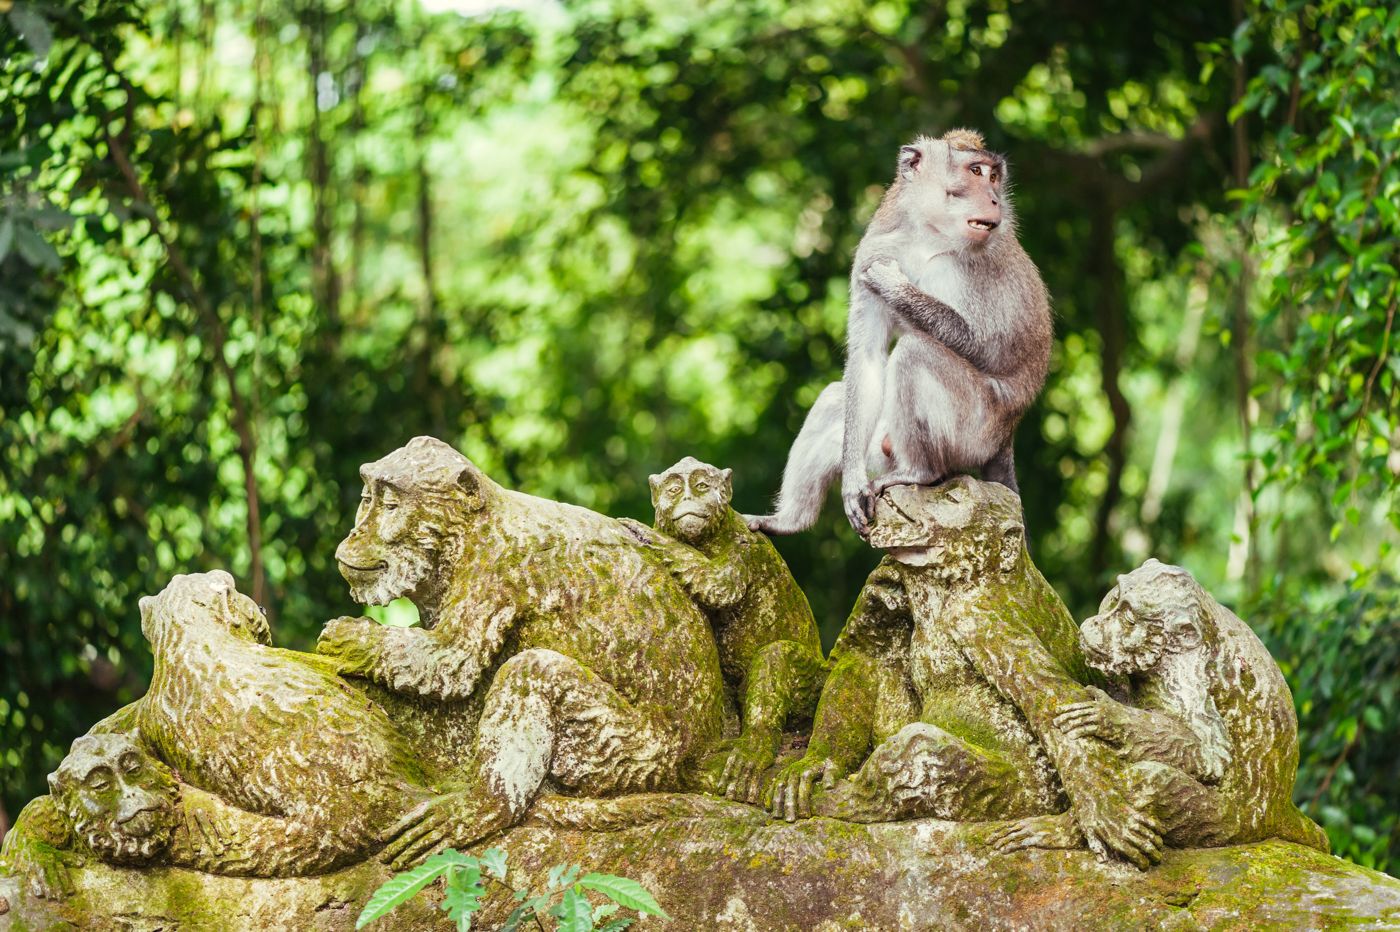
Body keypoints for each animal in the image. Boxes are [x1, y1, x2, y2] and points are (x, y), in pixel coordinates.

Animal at [744, 128, 1051, 537]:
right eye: (976, 171)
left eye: (993, 176)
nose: (995, 199)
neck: (928, 235)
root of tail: (1005, 439)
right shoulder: (875, 246)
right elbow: (867, 358)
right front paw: (851, 486)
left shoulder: (980, 262)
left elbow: (990, 350)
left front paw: (895, 287)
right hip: (882, 444)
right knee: (834, 398)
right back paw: (789, 521)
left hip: (973, 435)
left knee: (914, 354)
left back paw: (921, 472)